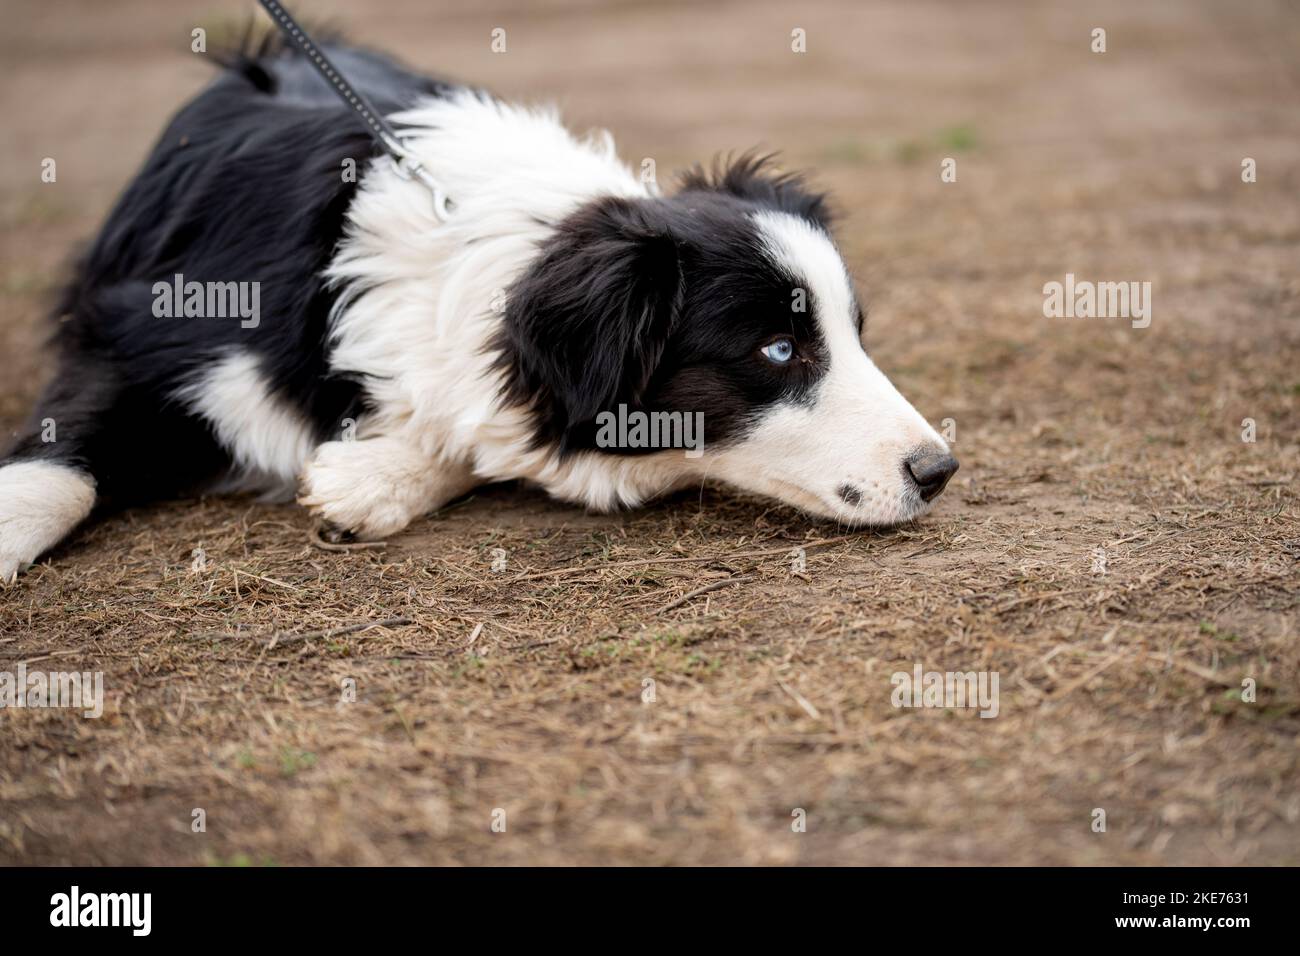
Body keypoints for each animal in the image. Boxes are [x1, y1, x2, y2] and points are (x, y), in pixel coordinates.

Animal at [0, 37, 956, 580]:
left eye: (855, 334)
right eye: (778, 351)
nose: (938, 470)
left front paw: (372, 479)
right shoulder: (140, 331)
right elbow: (58, 471)